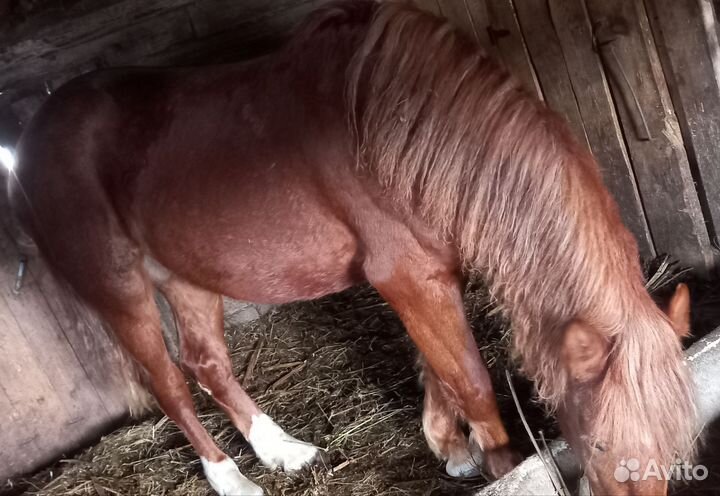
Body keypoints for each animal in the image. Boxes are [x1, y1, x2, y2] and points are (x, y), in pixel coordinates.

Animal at [8, 1, 696, 494]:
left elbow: (438, 368)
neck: (408, 132)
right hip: (119, 289)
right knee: (168, 383)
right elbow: (470, 378)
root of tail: (33, 134)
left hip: (186, 275)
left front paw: (451, 448)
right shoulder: (409, 276)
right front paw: (502, 465)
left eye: (678, 444)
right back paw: (231, 480)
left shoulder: (434, 274)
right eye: (602, 445)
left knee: (208, 365)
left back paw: (281, 452)